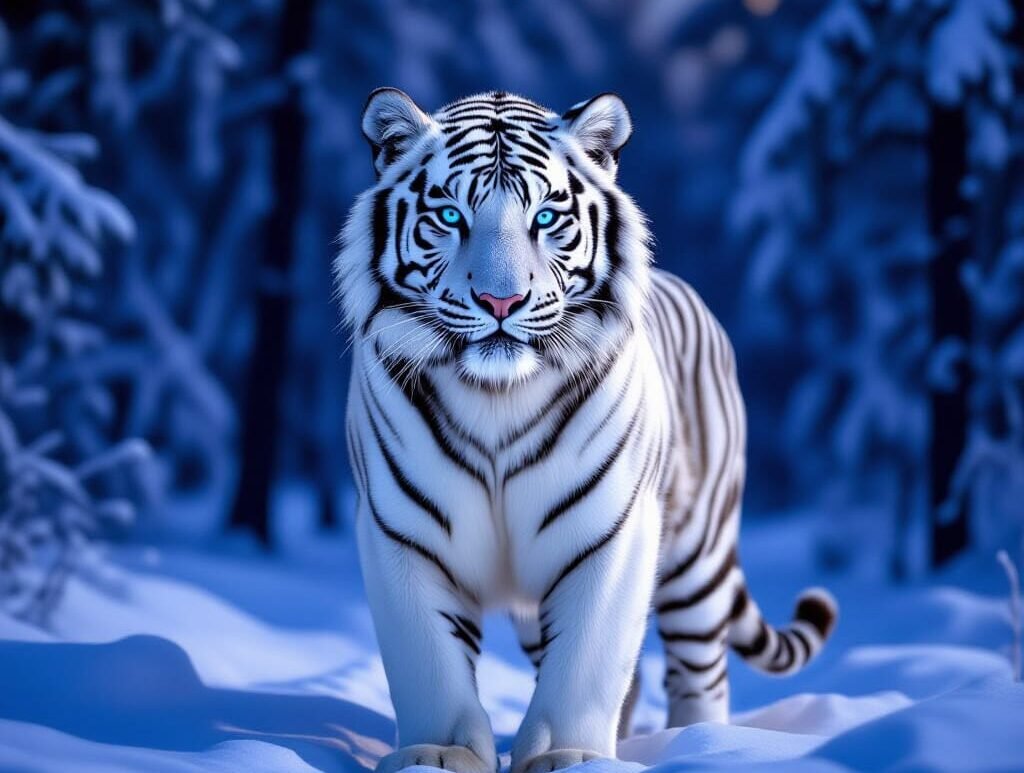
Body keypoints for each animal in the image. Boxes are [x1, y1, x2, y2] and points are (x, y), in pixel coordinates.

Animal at [334, 88, 837, 773]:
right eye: (449, 214)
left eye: (546, 217)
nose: (500, 302)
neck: (496, 398)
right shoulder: (403, 534)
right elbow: (429, 661)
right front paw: (436, 754)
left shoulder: (612, 531)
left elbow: (588, 660)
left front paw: (570, 756)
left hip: (697, 558)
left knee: (698, 671)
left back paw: (700, 744)